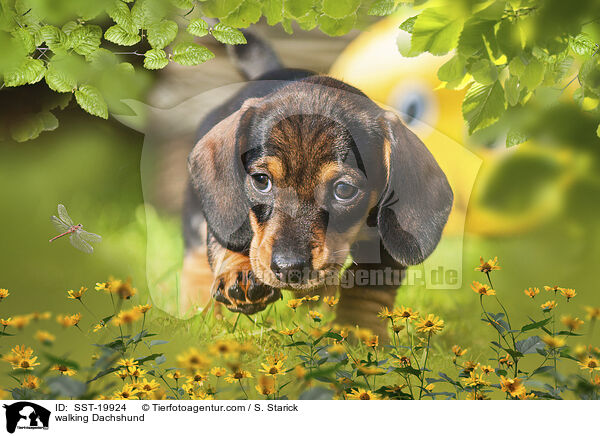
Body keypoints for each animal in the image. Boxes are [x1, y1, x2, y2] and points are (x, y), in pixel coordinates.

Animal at [180, 45, 452, 338]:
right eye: (261, 181)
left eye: (344, 189)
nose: (288, 268)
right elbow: (230, 240)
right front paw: (239, 271)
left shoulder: (384, 240)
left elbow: (370, 287)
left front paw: (361, 332)